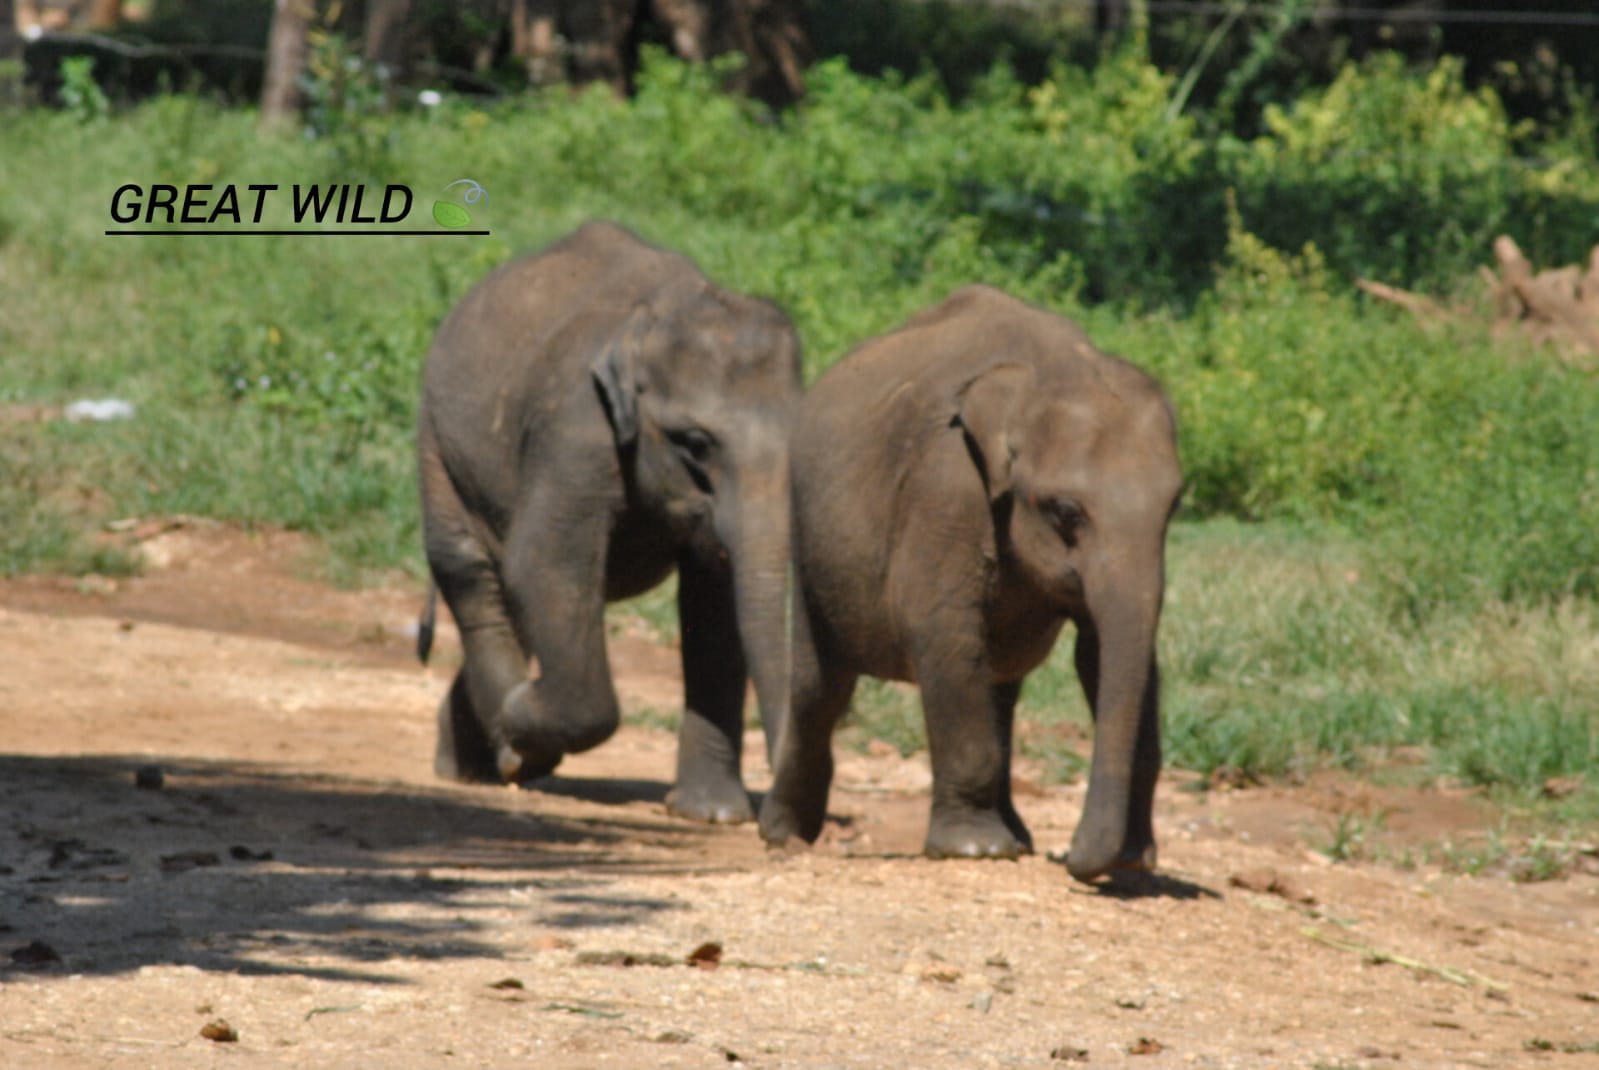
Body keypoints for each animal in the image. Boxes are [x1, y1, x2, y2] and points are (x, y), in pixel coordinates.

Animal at [416, 220, 801, 824]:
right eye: (696, 444)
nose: (776, 821)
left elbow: (714, 604)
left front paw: (710, 815)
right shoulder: (576, 429)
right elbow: (545, 564)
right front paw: (522, 718)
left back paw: (476, 759)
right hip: (439, 446)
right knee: (473, 571)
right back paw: (508, 744)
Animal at [758, 285, 1182, 882]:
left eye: (1176, 506)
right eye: (1067, 512)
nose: (1074, 857)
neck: (1045, 372)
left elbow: (1104, 653)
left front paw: (1134, 863)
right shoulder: (946, 486)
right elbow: (942, 627)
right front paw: (975, 851)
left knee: (1000, 686)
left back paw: (1019, 838)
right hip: (809, 536)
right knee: (821, 685)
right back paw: (784, 837)